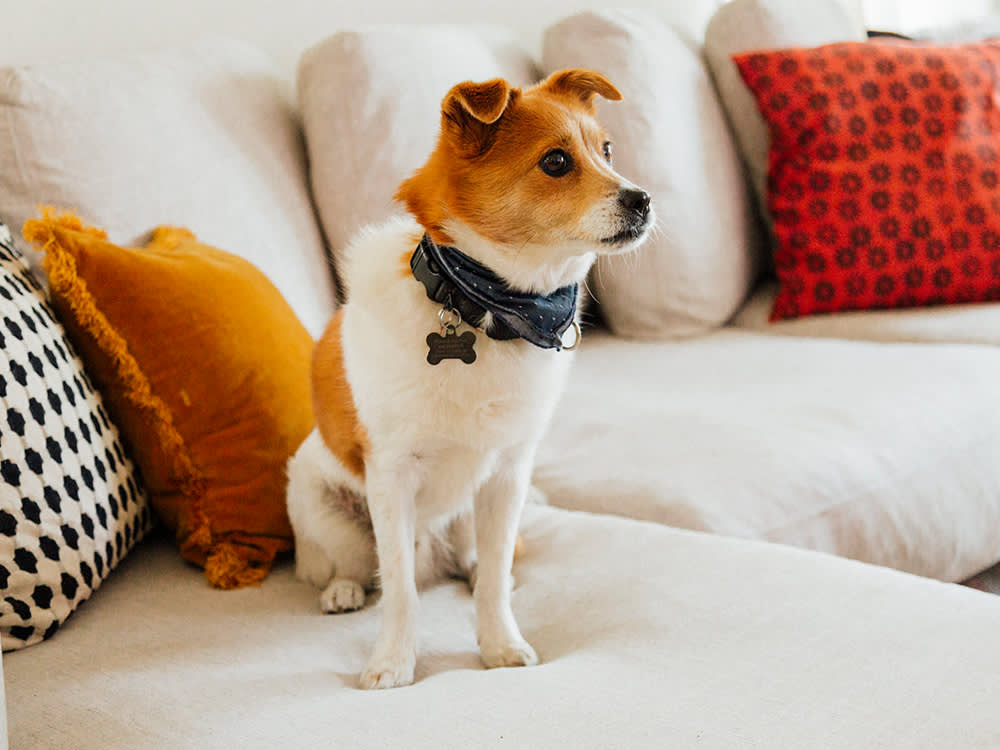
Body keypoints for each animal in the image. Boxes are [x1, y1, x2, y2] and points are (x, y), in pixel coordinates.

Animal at [286, 67, 652, 692]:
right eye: (556, 161)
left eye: (606, 151)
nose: (644, 199)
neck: (488, 309)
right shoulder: (390, 478)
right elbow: (399, 588)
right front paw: (393, 662)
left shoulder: (508, 474)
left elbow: (494, 580)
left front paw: (499, 644)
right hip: (317, 500)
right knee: (350, 564)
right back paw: (342, 589)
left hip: (469, 514)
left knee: (477, 562)